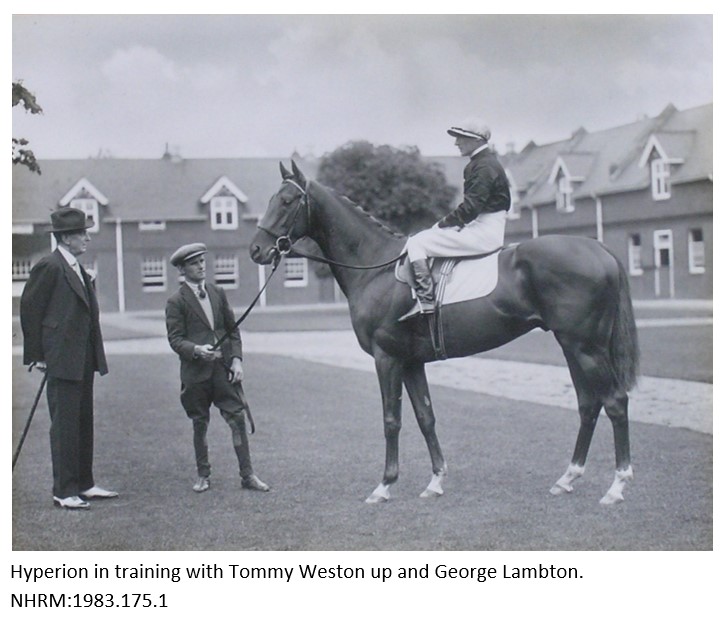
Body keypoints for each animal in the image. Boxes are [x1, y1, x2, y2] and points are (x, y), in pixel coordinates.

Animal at [250, 160, 640, 504]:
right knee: (588, 404)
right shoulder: (411, 362)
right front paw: (435, 481)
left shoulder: (386, 358)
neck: (376, 267)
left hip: (585, 347)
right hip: (573, 346)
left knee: (614, 401)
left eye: (287, 201)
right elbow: (426, 417)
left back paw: (617, 487)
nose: (256, 249)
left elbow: (392, 419)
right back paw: (567, 478)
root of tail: (598, 247)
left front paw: (384, 485)